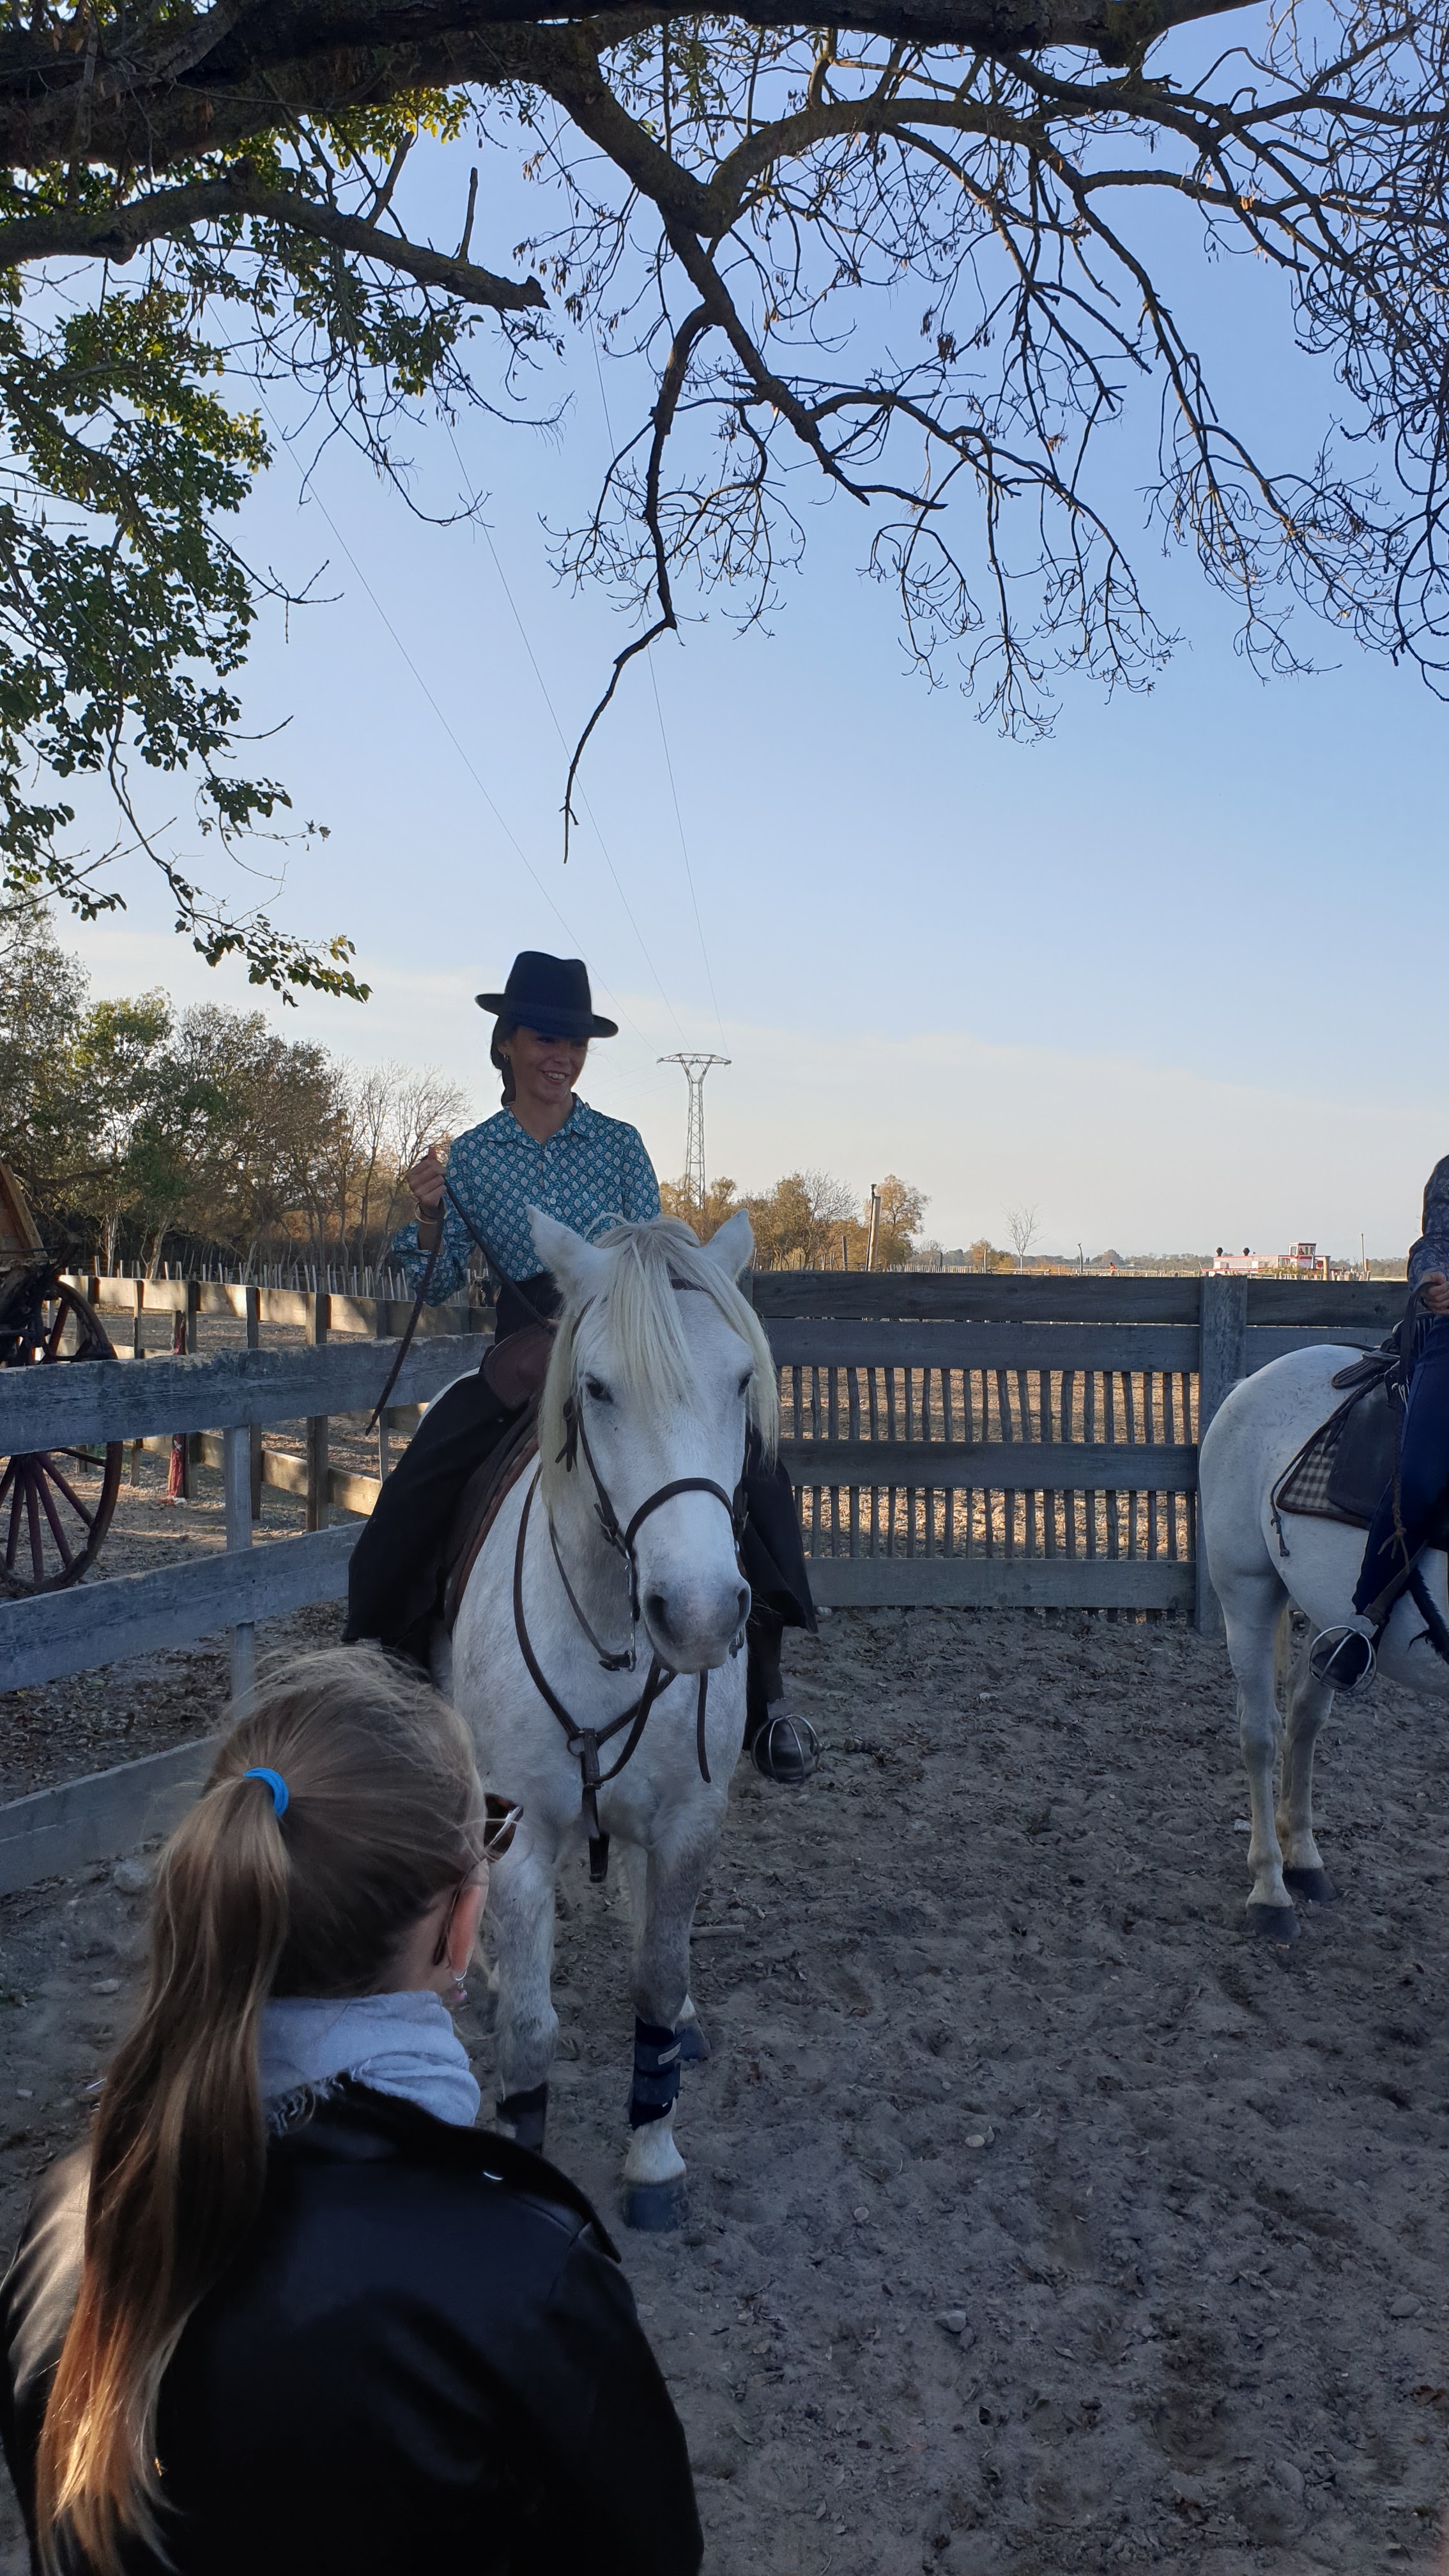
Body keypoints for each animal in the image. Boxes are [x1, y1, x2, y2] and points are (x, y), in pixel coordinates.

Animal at [444, 1204, 777, 2227]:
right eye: (596, 1389)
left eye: (740, 1380)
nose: (700, 1615)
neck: (607, 1632)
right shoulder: (519, 1827)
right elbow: (531, 2026)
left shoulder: (690, 1818)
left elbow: (657, 1986)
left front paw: (654, 2155)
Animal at [1199, 1343, 1449, 1943]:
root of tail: (1253, 1381)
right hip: (1246, 1589)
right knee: (1260, 1734)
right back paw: (1271, 1889)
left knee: (1304, 1719)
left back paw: (1304, 1859)